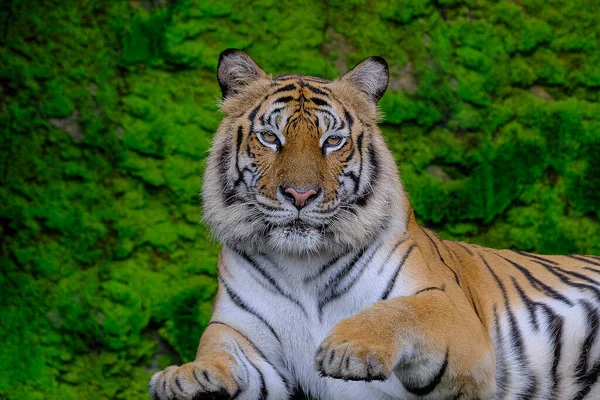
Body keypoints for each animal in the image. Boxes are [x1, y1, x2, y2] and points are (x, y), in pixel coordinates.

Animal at [148, 50, 600, 400]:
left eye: (332, 141)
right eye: (270, 138)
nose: (300, 195)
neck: (302, 266)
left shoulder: (453, 313)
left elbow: (400, 310)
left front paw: (347, 348)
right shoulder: (241, 333)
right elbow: (220, 353)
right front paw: (186, 375)